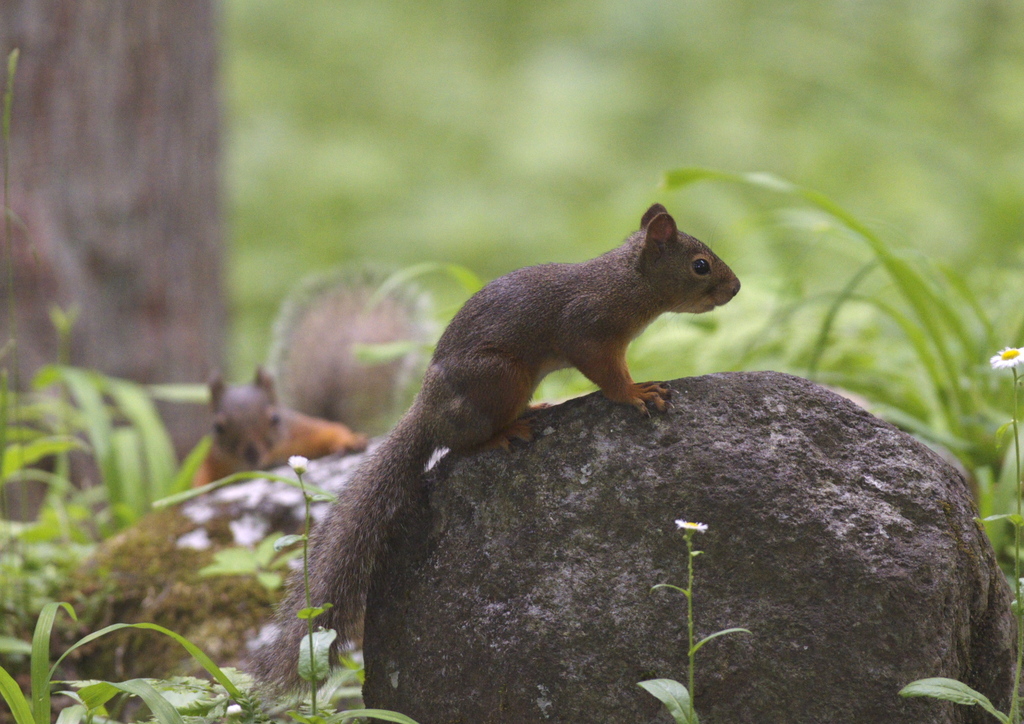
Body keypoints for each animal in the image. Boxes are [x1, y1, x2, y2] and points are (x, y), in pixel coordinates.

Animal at [192, 272, 428, 487]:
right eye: (217, 427)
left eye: (275, 418)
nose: (252, 454)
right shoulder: (216, 458)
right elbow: (200, 478)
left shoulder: (299, 432)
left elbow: (328, 431)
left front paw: (347, 440)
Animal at [251, 203, 741, 692]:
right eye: (700, 265)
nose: (735, 288)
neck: (627, 281)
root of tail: (427, 412)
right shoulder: (589, 331)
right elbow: (608, 376)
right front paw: (637, 392)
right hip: (500, 378)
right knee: (460, 446)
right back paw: (506, 432)